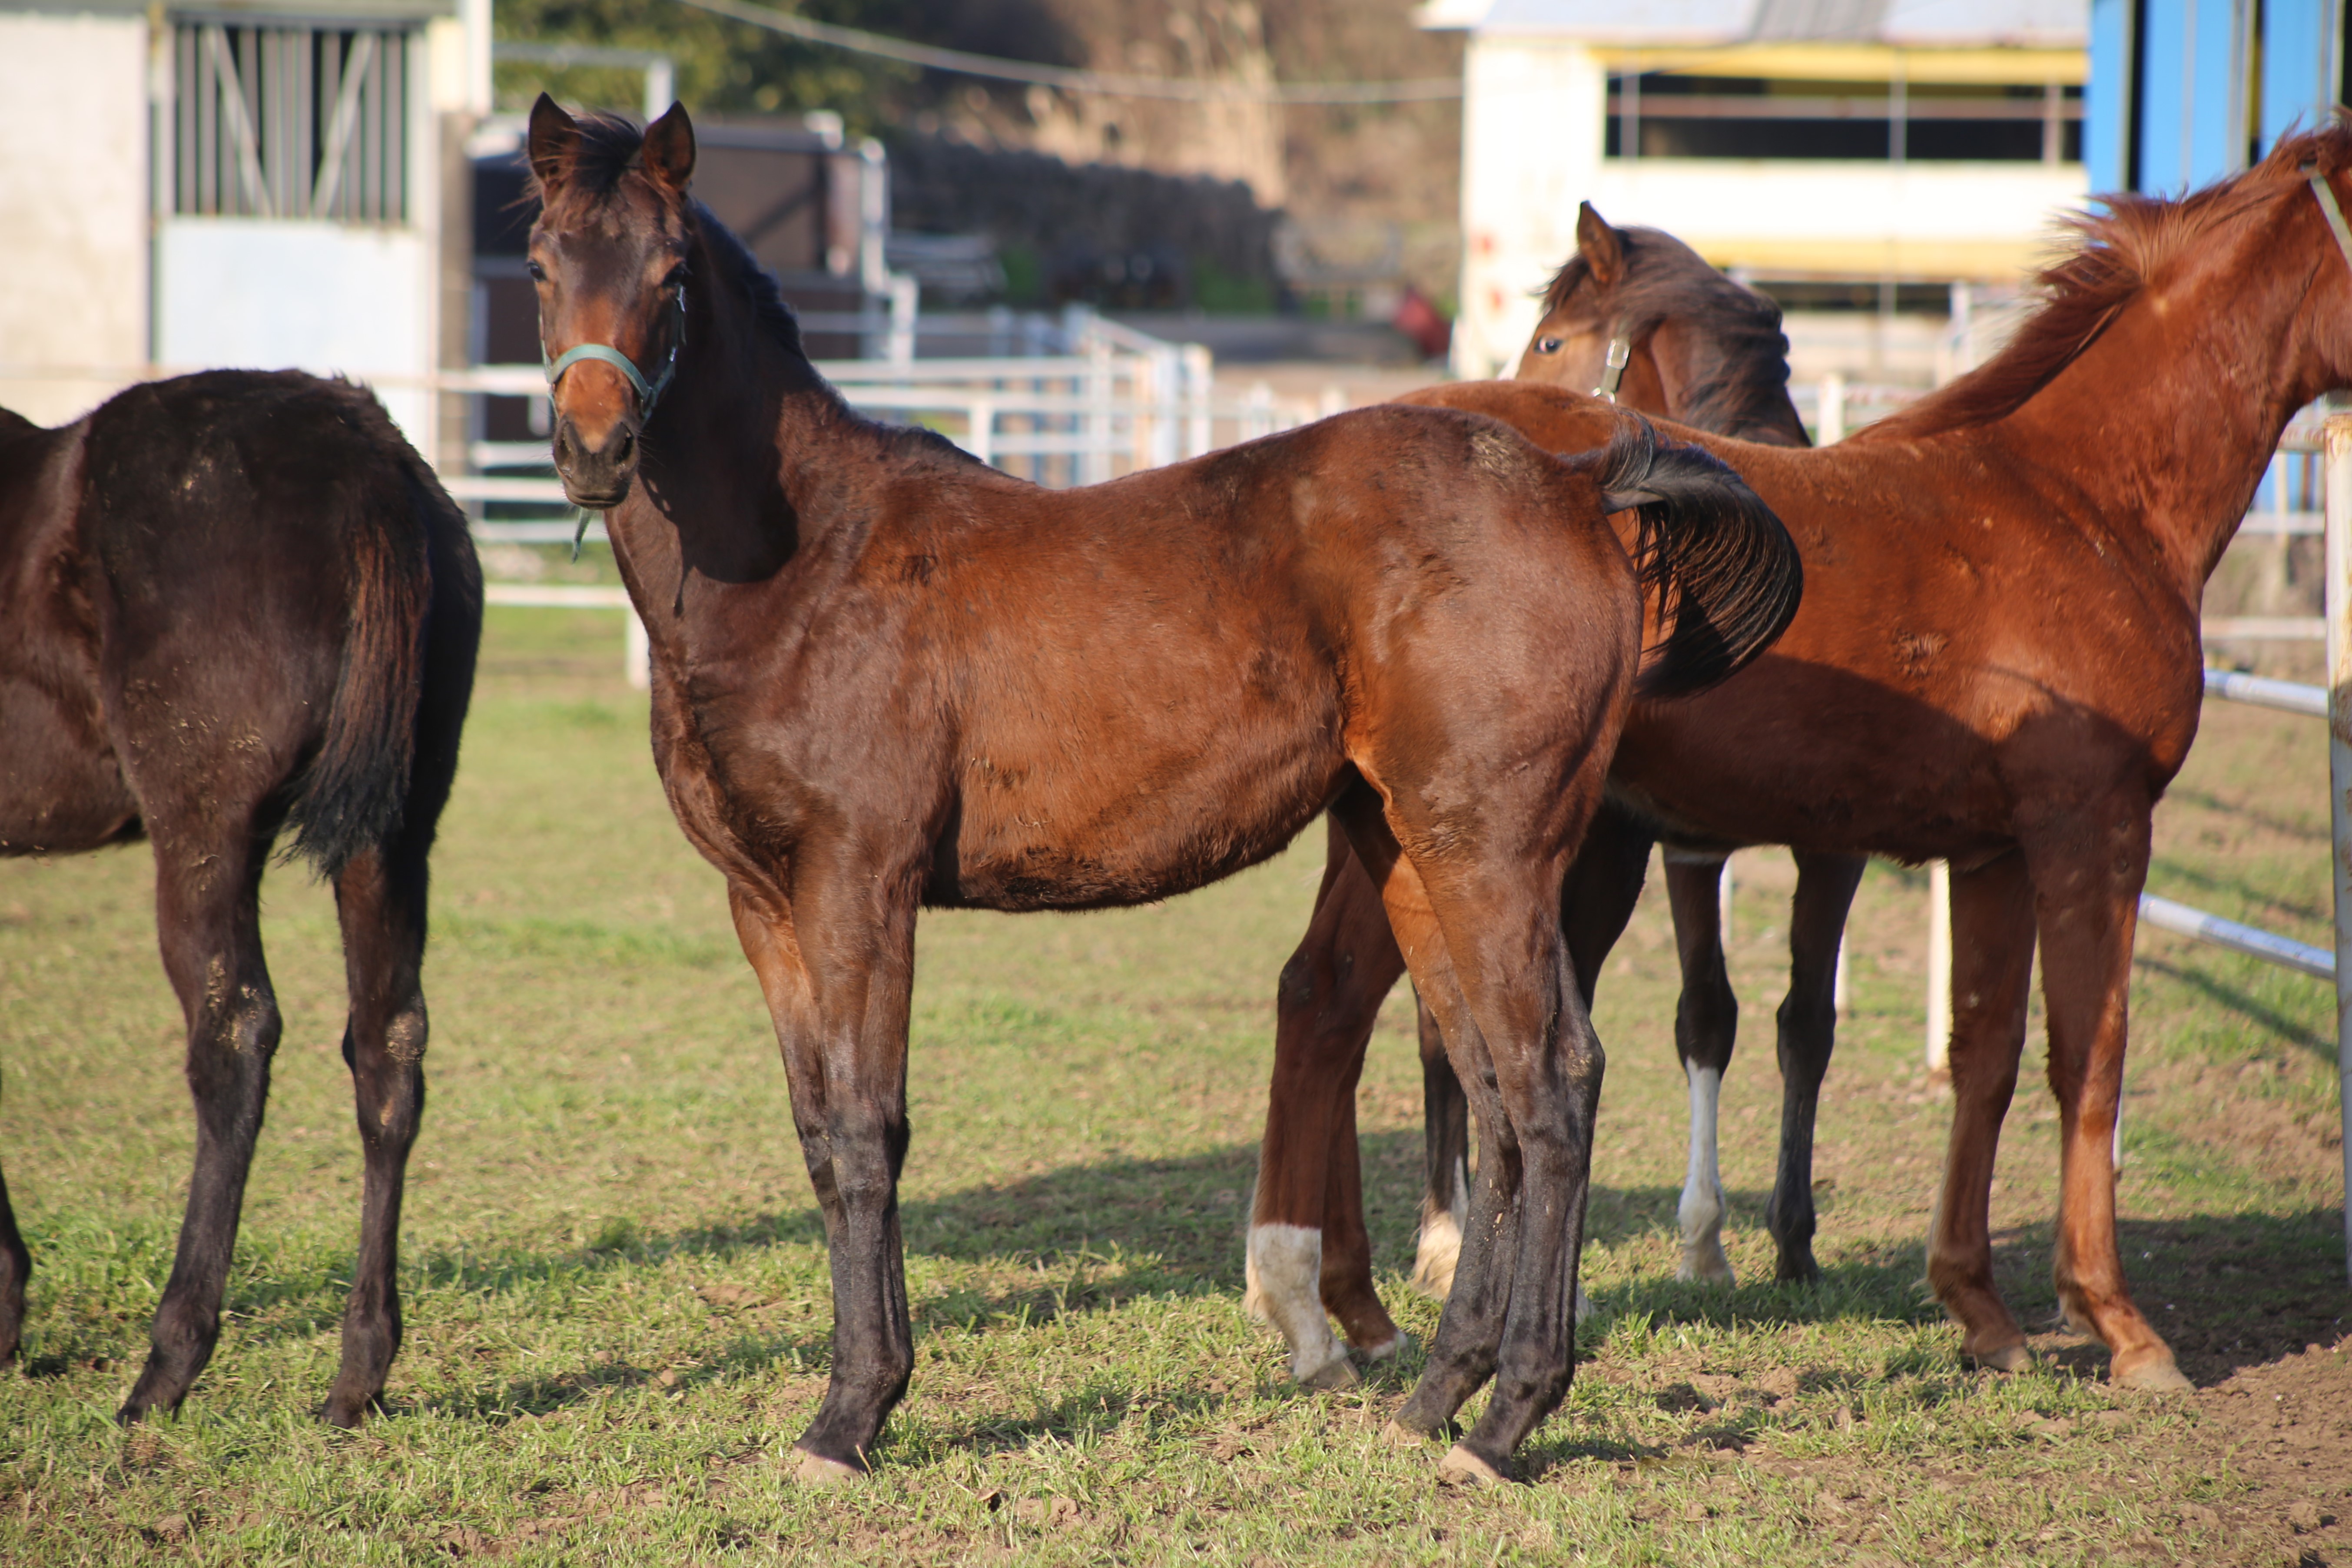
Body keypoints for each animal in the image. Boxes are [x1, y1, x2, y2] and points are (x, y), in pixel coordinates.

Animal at [1, 369, 482, 1420]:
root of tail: (361, 445)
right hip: (392, 830)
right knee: (388, 1043)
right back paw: (358, 1373)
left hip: (203, 829)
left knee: (233, 1036)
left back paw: (167, 1363)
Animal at [520, 95, 1797, 1485]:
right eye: (539, 265)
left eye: (671, 274)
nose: (595, 447)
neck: (805, 564)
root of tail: (1572, 484)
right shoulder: (764, 905)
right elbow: (820, 1137)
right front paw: (858, 1394)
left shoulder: (859, 886)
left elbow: (868, 1136)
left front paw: (851, 1415)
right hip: (1414, 856)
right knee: (1495, 1095)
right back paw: (1432, 1399)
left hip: (1494, 854)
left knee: (1553, 1083)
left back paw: (1506, 1421)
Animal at [1261, 126, 2352, 1401]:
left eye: (1556, 333)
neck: (2080, 502)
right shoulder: (2093, 826)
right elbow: (2088, 1056)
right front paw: (2118, 1323)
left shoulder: (1990, 853)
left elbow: (1981, 1054)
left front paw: (1978, 1309)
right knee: (1335, 1003)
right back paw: (1331, 1308)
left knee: (1331, 1003)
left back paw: (1355, 1307)